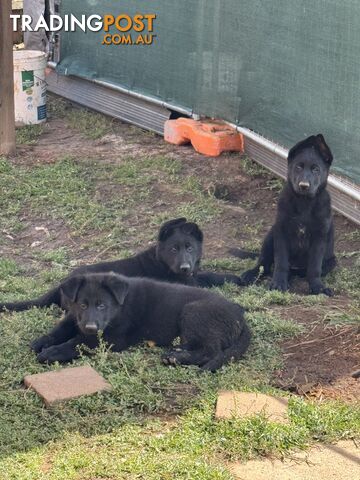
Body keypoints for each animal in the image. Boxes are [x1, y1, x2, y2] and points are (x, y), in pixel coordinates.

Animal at [0, 218, 248, 316]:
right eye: (173, 249)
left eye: (189, 247)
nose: (185, 267)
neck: (161, 261)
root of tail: (61, 285)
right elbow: (208, 284)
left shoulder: (194, 276)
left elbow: (210, 276)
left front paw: (237, 278)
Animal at [31, 272, 250, 370]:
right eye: (83, 305)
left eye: (102, 306)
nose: (91, 327)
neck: (119, 306)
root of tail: (240, 316)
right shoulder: (75, 318)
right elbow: (60, 329)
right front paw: (42, 341)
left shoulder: (113, 338)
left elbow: (77, 342)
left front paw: (52, 352)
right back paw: (176, 353)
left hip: (194, 312)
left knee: (210, 351)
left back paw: (176, 358)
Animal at [235, 133, 336, 294]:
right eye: (298, 167)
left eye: (316, 169)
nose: (304, 186)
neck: (304, 203)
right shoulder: (281, 232)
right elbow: (281, 262)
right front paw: (278, 283)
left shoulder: (319, 237)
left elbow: (314, 267)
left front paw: (317, 287)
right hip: (271, 235)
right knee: (265, 264)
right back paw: (252, 274)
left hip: (331, 261)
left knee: (300, 271)